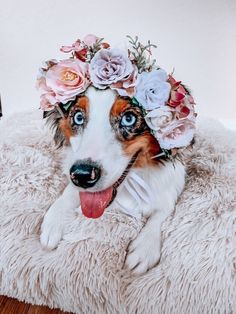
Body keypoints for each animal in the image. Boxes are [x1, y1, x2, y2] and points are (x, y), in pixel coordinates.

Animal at [39, 86, 185, 274]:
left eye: (128, 119)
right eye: (78, 117)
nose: (82, 175)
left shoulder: (173, 183)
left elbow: (162, 213)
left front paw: (144, 249)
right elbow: (70, 192)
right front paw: (54, 220)